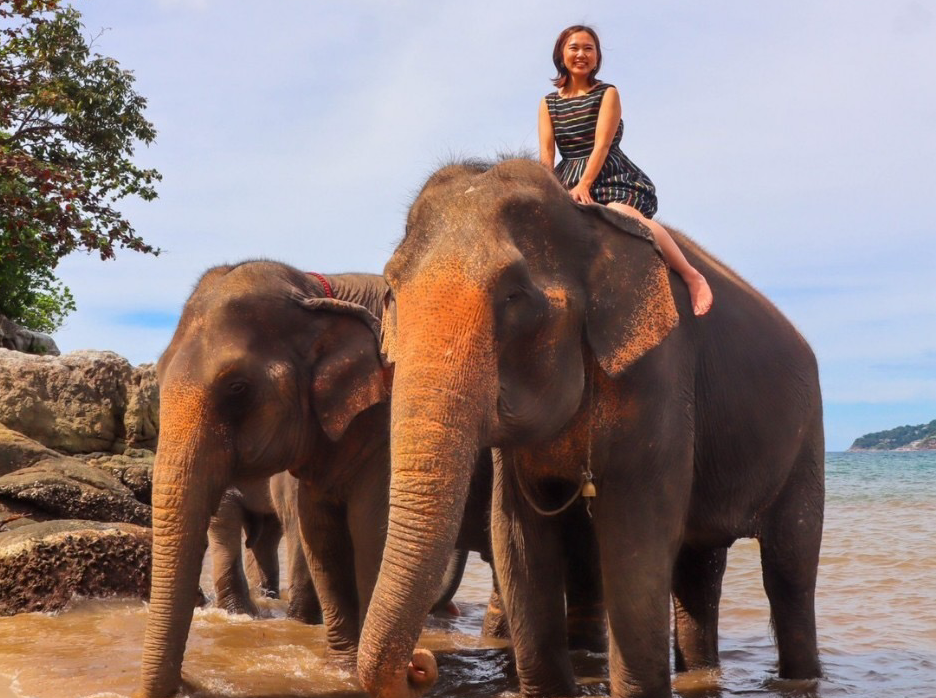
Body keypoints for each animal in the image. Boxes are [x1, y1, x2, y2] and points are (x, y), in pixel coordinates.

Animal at [354, 158, 824, 696]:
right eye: (391, 293)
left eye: (514, 295)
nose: (421, 663)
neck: (586, 228)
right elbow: (516, 541)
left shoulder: (660, 375)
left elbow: (635, 543)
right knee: (698, 568)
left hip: (807, 439)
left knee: (789, 568)